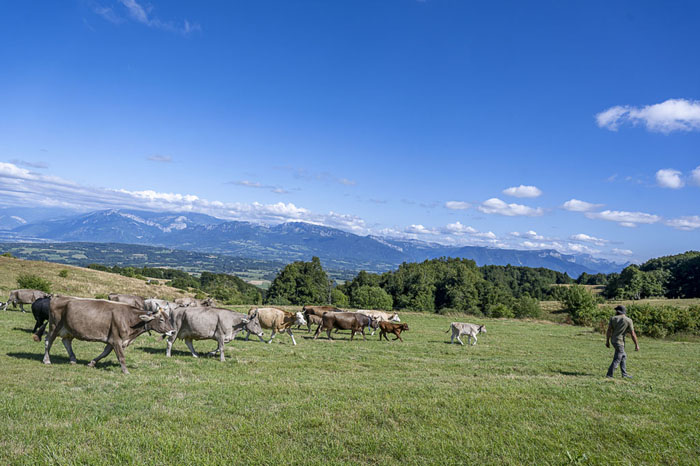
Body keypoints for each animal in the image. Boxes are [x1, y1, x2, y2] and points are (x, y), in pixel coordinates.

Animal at [43, 296, 175, 374]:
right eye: (161, 319)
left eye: (168, 317)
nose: (173, 331)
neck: (130, 319)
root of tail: (57, 297)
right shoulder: (116, 339)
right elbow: (121, 356)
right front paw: (126, 371)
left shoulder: (113, 340)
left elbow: (104, 353)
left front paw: (92, 363)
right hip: (54, 326)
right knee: (48, 340)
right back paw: (47, 360)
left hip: (69, 329)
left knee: (66, 341)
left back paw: (73, 359)